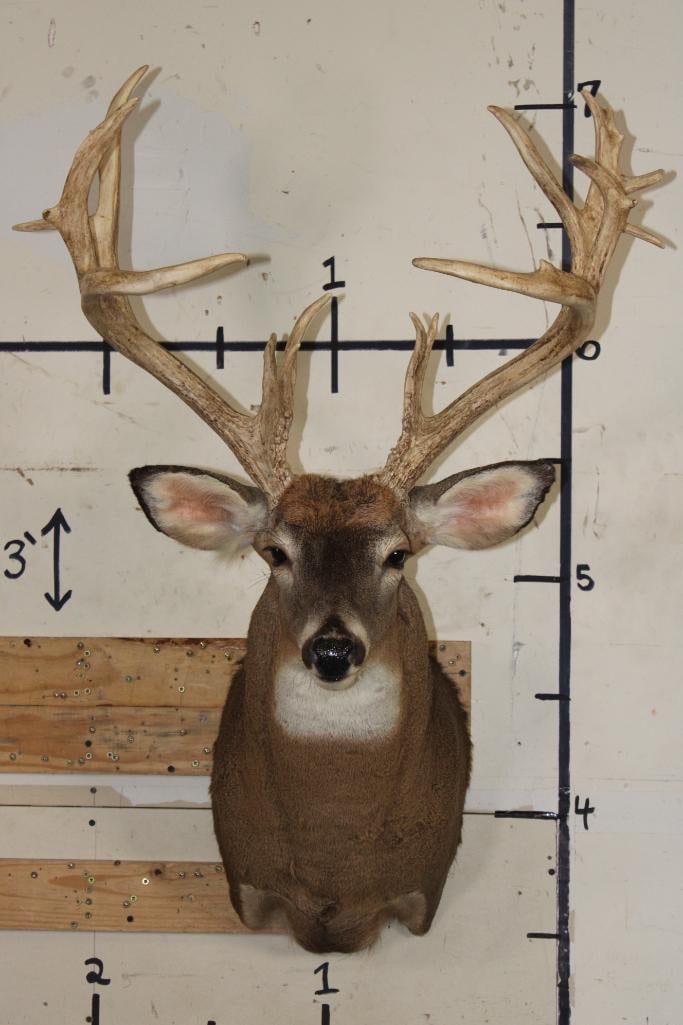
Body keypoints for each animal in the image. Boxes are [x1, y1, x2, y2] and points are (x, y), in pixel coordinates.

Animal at [14, 67, 665, 953]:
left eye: (398, 552)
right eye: (274, 552)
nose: (331, 650)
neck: (331, 867)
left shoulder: (418, 893)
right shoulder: (250, 886)